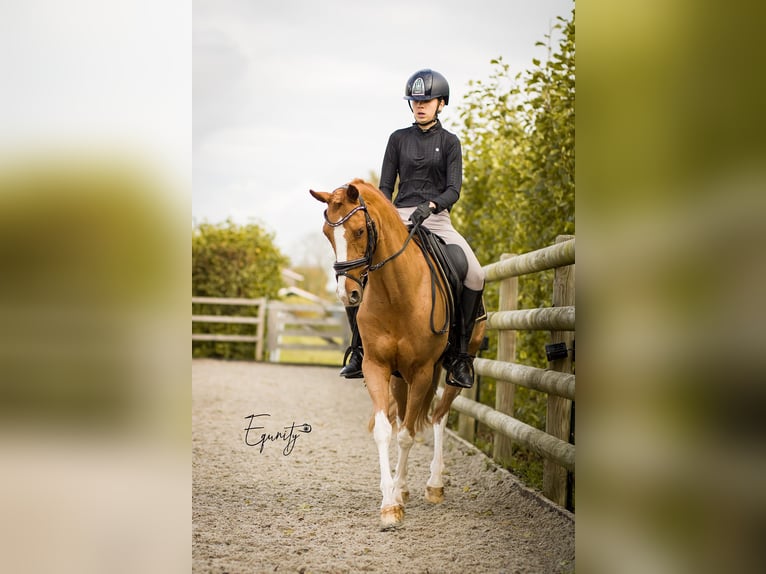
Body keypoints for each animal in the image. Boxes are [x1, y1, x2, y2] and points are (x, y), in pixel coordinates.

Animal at [310, 178, 486, 529]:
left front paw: (395, 500)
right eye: (326, 232)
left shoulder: (422, 371)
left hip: (449, 370)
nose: (348, 294)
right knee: (408, 415)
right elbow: (385, 431)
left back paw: (435, 484)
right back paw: (403, 487)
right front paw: (391, 500)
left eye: (359, 230)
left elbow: (406, 435)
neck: (395, 292)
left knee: (438, 416)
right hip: (399, 378)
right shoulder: (377, 367)